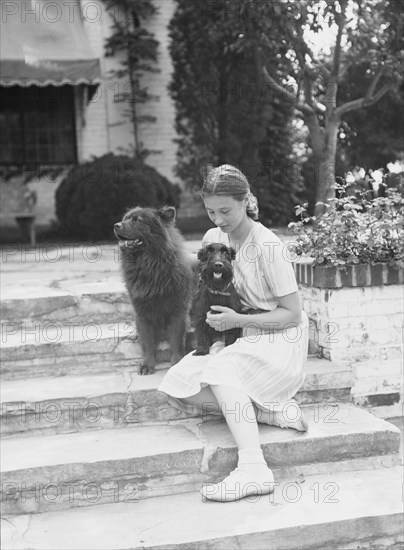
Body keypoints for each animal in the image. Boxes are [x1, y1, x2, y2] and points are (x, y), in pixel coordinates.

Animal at [113, 205, 194, 378]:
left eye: (137, 220)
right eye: (124, 219)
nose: (116, 225)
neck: (149, 265)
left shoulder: (177, 310)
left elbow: (176, 341)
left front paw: (176, 362)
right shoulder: (142, 312)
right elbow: (147, 342)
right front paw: (146, 365)